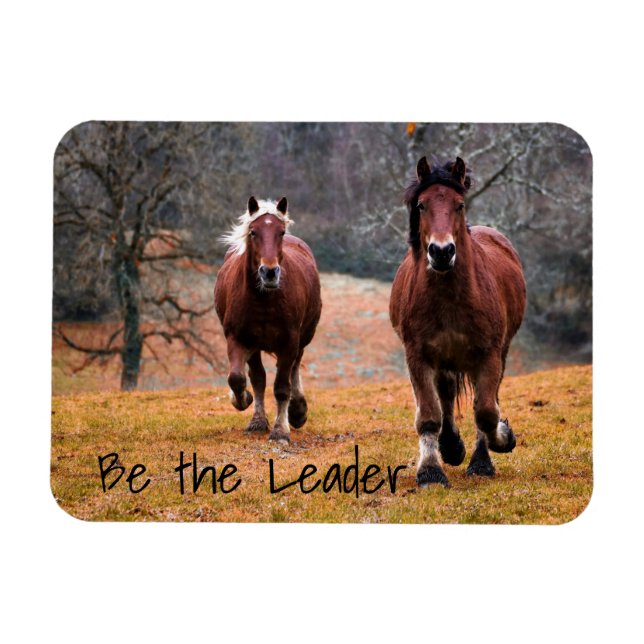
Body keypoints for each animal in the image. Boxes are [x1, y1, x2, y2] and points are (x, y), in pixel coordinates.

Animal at [215, 196, 322, 444]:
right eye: (253, 232)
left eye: (280, 232)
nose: (270, 272)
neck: (263, 300)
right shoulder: (239, 339)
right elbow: (240, 378)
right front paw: (245, 402)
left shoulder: (289, 342)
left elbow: (282, 387)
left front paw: (281, 430)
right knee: (258, 377)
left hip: (302, 338)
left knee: (294, 368)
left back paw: (297, 411)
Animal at [389, 156, 526, 487]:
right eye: (422, 205)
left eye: (459, 204)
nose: (441, 252)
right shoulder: (418, 356)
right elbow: (429, 414)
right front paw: (430, 471)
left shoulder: (488, 355)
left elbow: (486, 412)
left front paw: (500, 442)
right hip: (445, 360)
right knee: (447, 396)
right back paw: (450, 447)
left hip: (496, 354)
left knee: (483, 399)